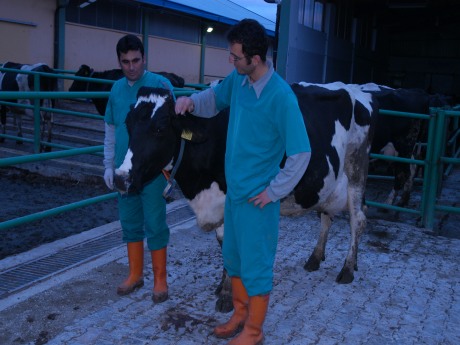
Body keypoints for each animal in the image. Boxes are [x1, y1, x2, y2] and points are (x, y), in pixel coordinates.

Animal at [113, 82, 376, 312]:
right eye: (128, 123)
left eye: (159, 128)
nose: (120, 178)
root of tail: (355, 89)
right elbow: (223, 243)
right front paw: (223, 286)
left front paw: (227, 297)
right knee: (327, 215)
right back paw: (317, 258)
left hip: (357, 168)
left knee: (358, 219)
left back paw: (348, 269)